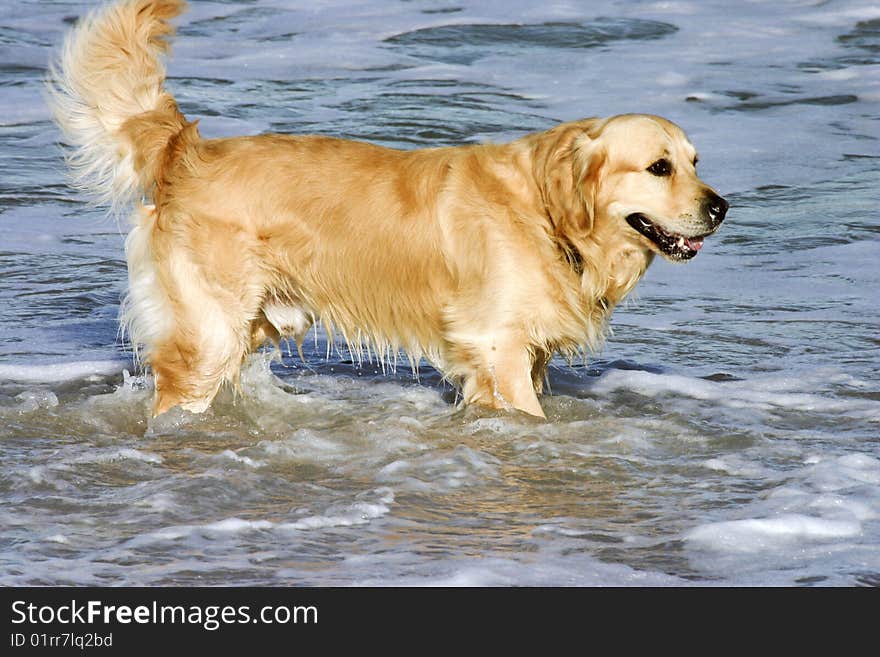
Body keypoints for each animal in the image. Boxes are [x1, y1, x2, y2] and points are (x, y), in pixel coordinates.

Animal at [44, 0, 724, 418]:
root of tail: (188, 149)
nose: (721, 208)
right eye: (659, 167)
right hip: (208, 329)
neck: (547, 216)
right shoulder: (497, 346)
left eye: (696, 161)